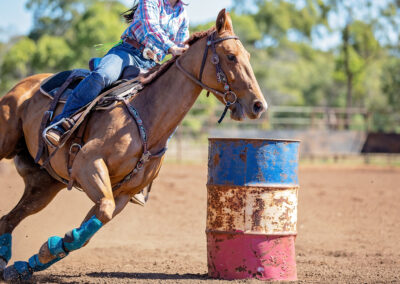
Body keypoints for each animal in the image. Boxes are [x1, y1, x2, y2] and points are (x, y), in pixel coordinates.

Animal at [0, 9, 268, 282]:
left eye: (247, 56)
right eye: (231, 56)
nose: (259, 105)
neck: (147, 114)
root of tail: (24, 86)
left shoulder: (122, 193)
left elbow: (94, 224)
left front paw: (42, 255)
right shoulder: (88, 164)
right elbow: (100, 213)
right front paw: (49, 249)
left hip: (44, 184)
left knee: (7, 220)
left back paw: (8, 265)